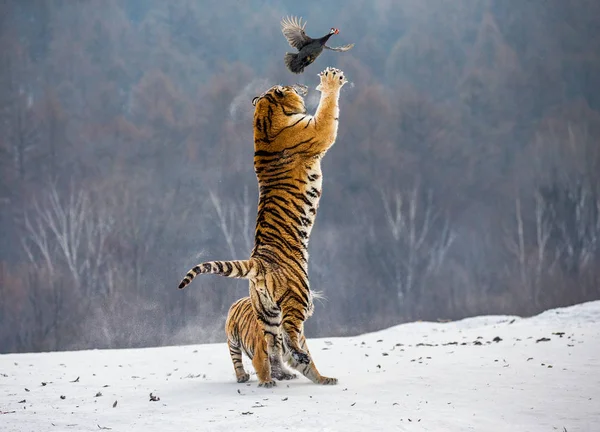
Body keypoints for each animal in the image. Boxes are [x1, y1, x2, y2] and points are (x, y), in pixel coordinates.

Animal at [177, 66, 346, 388]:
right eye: (287, 85)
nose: (300, 83)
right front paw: (331, 80)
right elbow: (328, 110)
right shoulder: (319, 129)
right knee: (291, 334)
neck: (265, 116)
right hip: (298, 297)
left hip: (267, 313)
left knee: (272, 344)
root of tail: (257, 261)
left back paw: (300, 374)